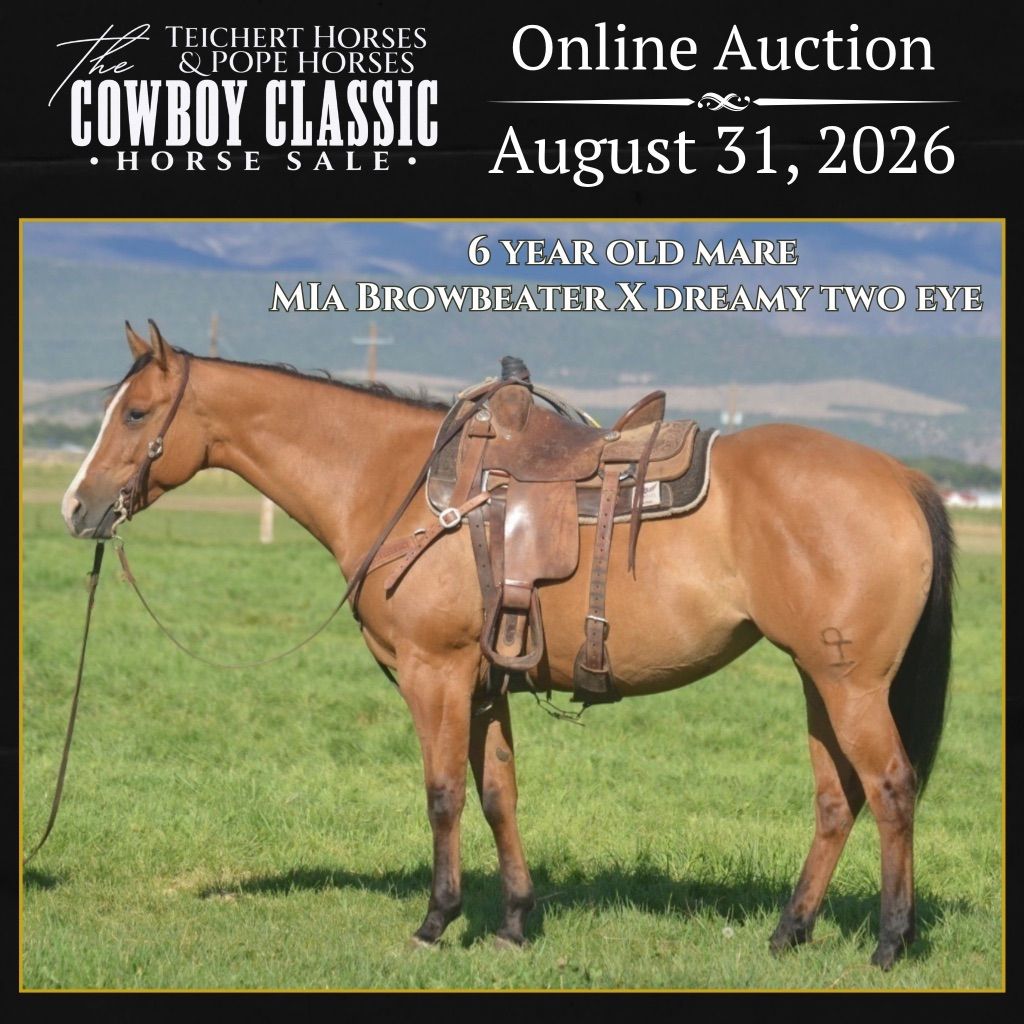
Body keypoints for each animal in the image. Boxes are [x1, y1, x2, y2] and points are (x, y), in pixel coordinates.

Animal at [60, 322, 953, 970]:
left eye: (135, 414)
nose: (76, 507)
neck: (397, 484)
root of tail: (903, 478)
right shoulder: (486, 682)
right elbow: (499, 795)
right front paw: (515, 923)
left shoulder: (436, 674)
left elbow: (444, 795)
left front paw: (435, 921)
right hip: (817, 678)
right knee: (837, 799)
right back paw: (788, 933)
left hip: (849, 683)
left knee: (890, 788)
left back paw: (889, 941)